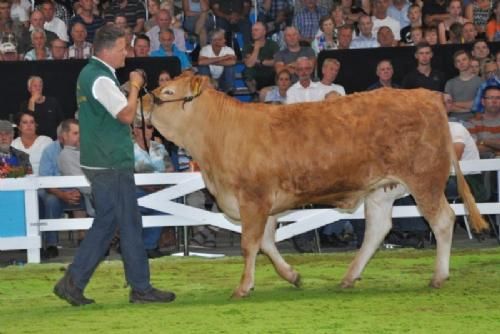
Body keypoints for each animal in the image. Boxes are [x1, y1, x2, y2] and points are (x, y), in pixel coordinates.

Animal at [148, 72, 488, 298]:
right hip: (382, 189)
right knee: (378, 228)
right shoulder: (267, 203)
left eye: (167, 91)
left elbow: (250, 244)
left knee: (443, 220)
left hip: (425, 181)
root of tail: (426, 95)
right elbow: (267, 242)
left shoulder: (253, 199)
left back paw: (438, 277)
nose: (146, 97)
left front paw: (243, 287)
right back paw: (349, 277)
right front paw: (293, 276)